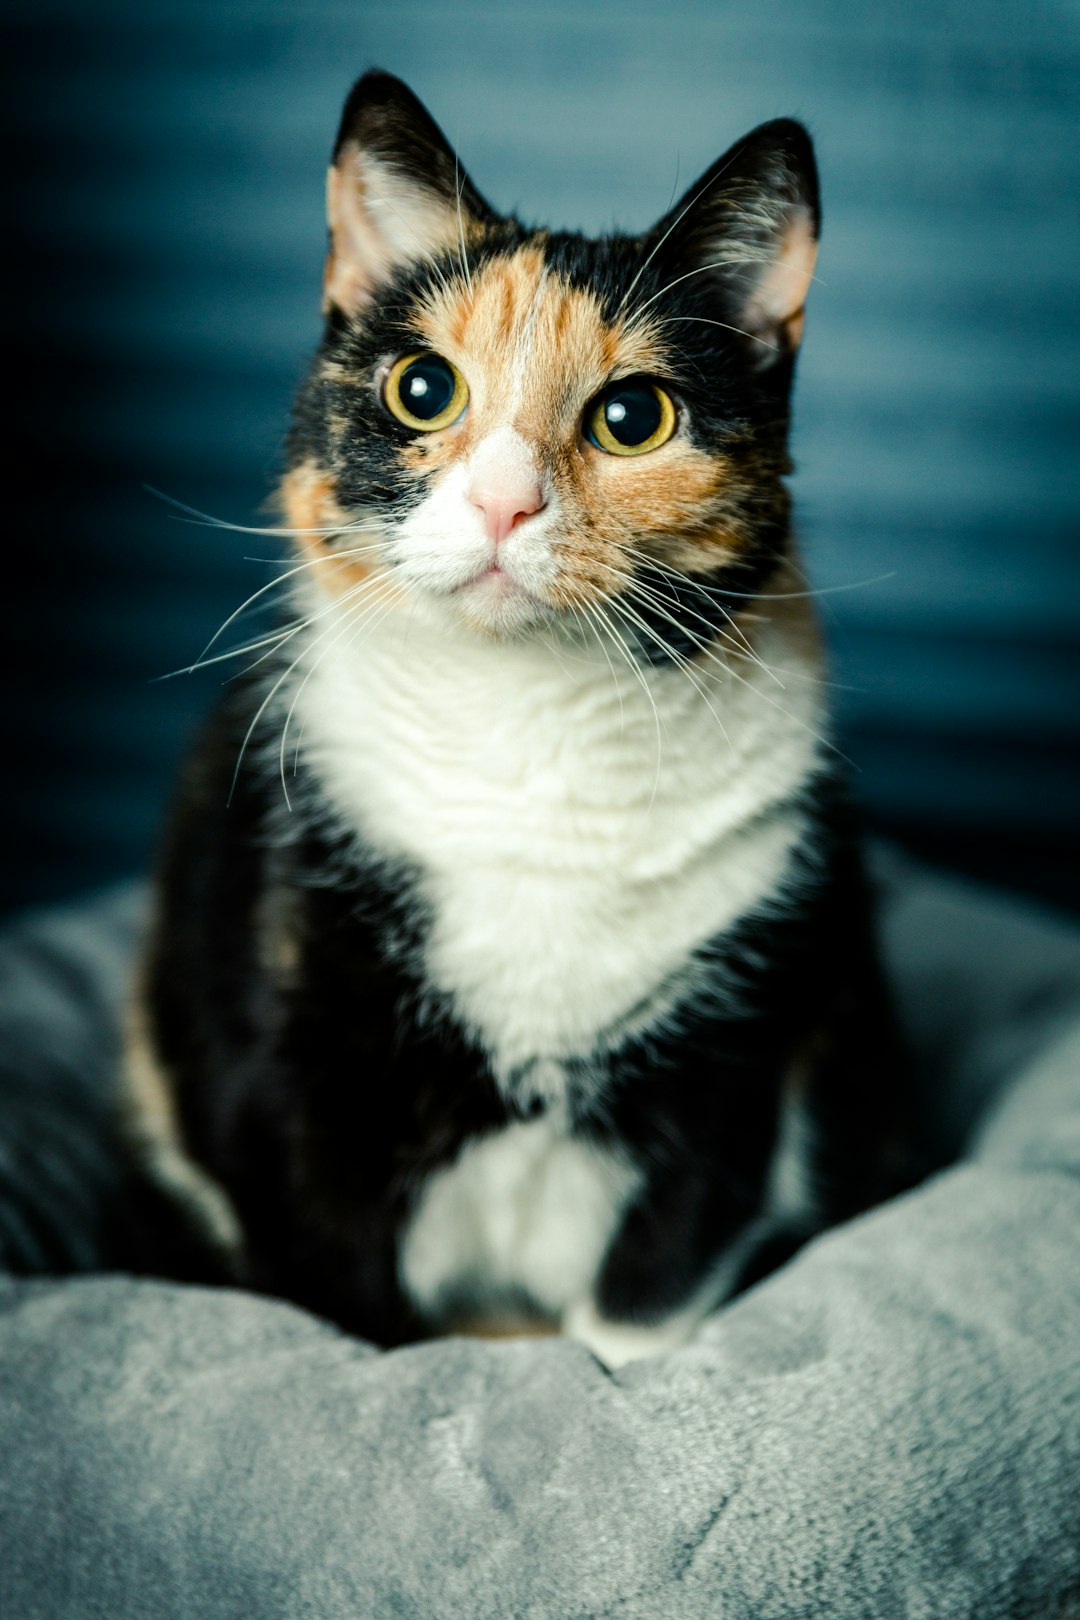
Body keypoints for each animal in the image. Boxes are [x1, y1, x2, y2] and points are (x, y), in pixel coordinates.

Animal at [131, 72, 919, 1367]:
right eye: (422, 388)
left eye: (635, 415)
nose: (504, 502)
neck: (524, 734)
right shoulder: (285, 1074)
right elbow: (350, 1311)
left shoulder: (738, 1057)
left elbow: (644, 1305)